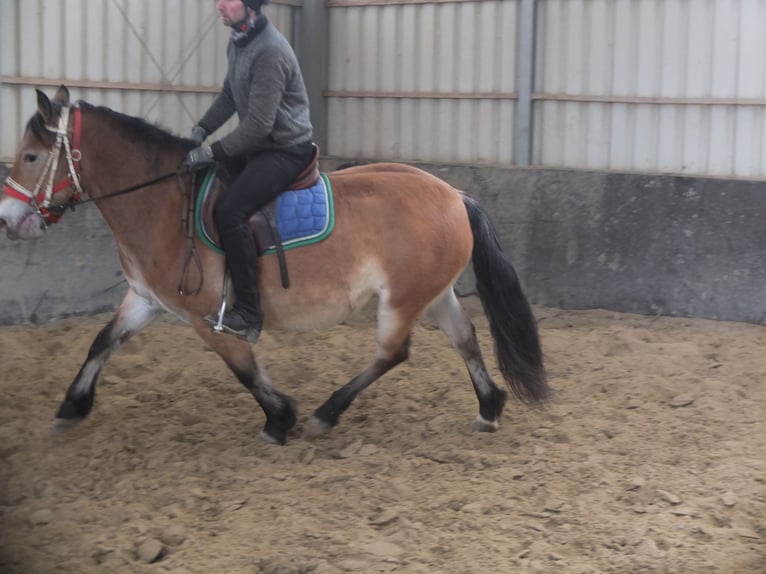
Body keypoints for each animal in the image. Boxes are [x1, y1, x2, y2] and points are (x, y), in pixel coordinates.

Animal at [1, 85, 552, 448]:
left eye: (30, 157)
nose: (8, 219)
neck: (160, 201)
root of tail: (455, 195)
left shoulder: (207, 315)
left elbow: (243, 368)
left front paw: (280, 418)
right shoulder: (144, 300)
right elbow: (102, 341)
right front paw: (71, 407)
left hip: (401, 300)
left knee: (393, 353)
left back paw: (327, 414)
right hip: (433, 293)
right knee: (465, 340)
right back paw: (489, 406)